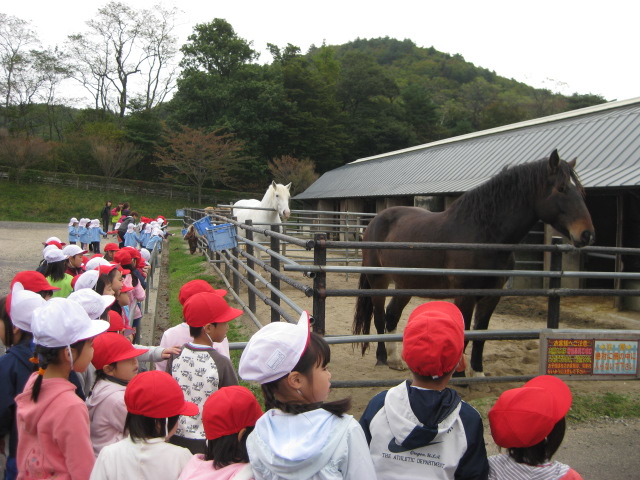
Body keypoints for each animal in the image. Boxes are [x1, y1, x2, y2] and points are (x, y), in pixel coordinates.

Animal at [352, 148, 592, 374]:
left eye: (581, 191)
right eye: (561, 188)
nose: (587, 234)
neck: (483, 233)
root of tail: (375, 220)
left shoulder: (491, 296)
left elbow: (480, 334)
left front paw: (477, 372)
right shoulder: (465, 296)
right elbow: (465, 332)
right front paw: (458, 376)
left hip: (407, 283)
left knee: (392, 315)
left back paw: (396, 361)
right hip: (379, 280)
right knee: (379, 317)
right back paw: (382, 358)